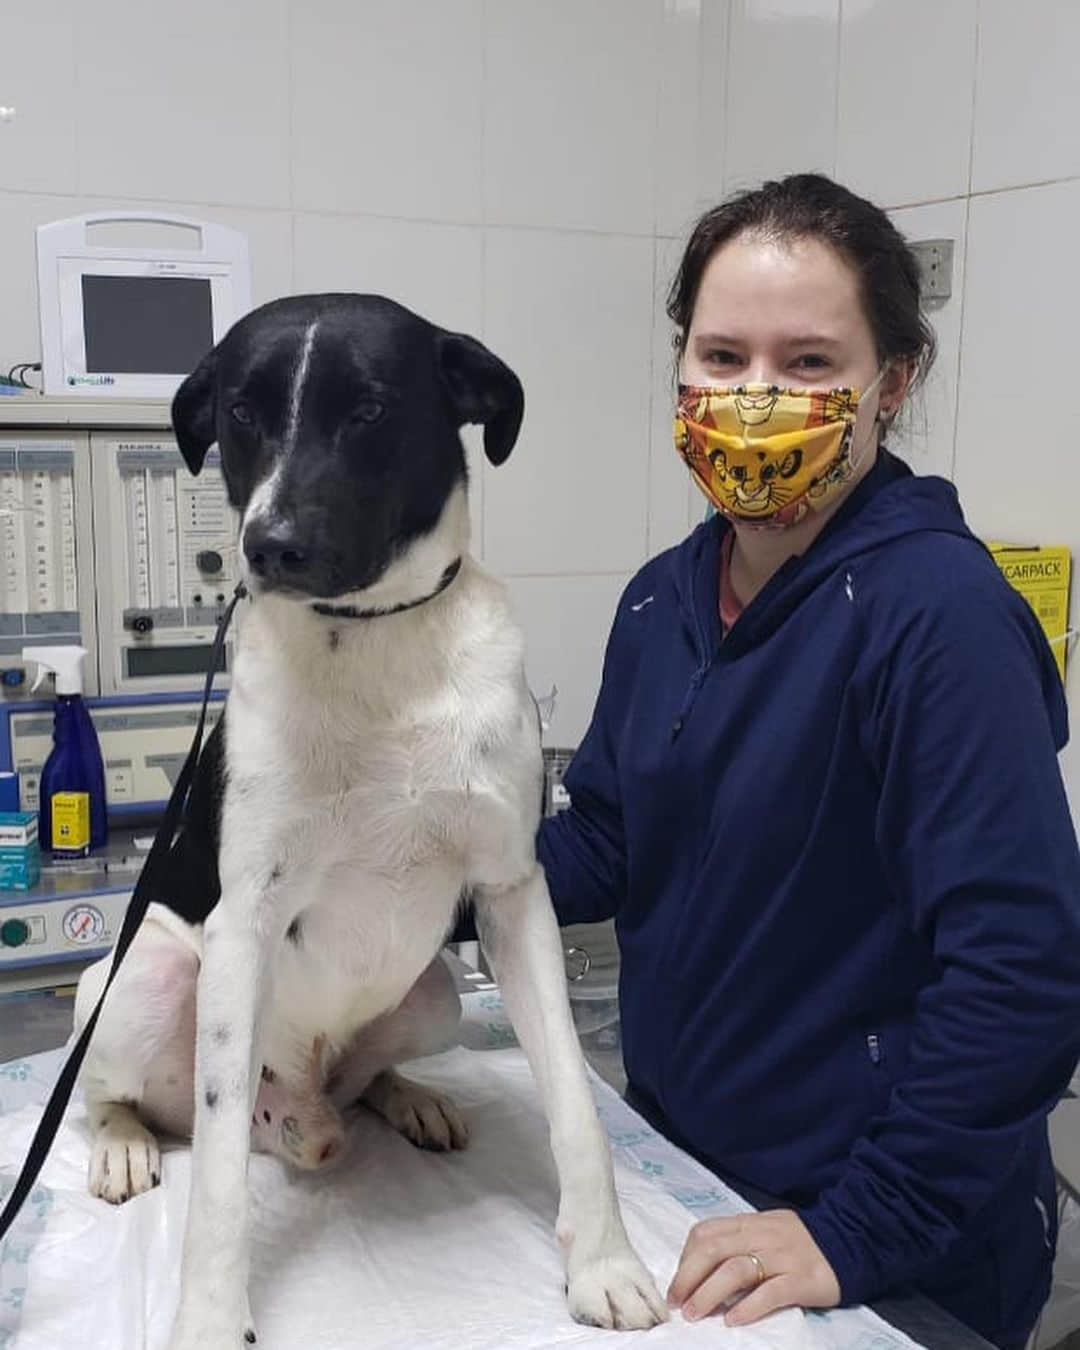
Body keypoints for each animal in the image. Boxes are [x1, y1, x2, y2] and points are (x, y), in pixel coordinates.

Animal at [71, 298, 661, 1350]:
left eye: (371, 410)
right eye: (240, 413)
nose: (269, 546)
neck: (375, 637)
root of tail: (299, 1110)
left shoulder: (512, 899)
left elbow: (574, 1104)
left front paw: (605, 1264)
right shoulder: (243, 924)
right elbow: (215, 1183)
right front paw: (210, 1321)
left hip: (433, 992)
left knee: (368, 1074)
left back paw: (408, 1098)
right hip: (142, 978)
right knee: (124, 1097)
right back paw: (124, 1145)